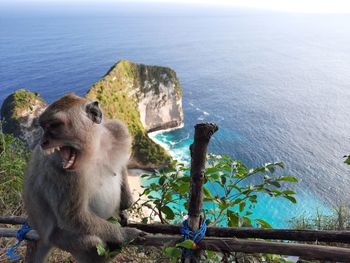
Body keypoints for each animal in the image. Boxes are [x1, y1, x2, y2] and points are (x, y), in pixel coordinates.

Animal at [23, 94, 144, 263]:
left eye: (54, 125)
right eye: (43, 127)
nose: (43, 142)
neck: (95, 150)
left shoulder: (118, 130)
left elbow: (122, 167)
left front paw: (125, 205)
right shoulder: (59, 170)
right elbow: (74, 216)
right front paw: (126, 234)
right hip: (62, 239)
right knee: (92, 241)